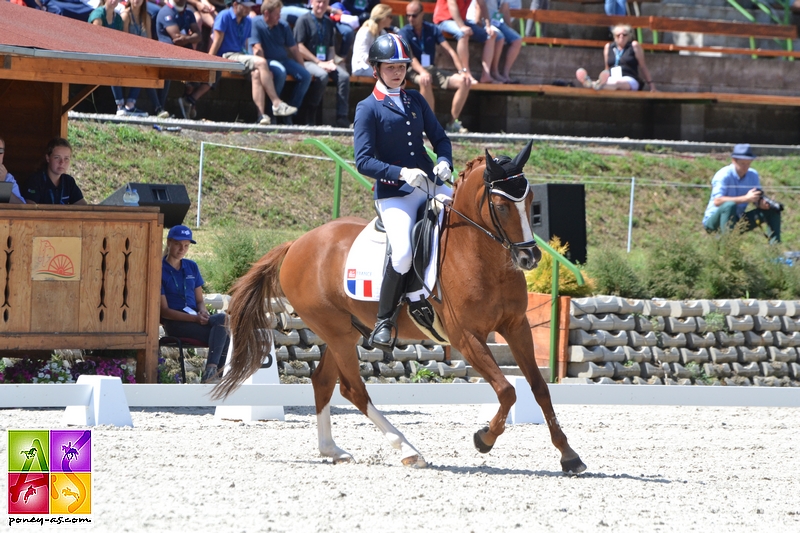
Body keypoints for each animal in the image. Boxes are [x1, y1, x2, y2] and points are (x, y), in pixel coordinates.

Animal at [216, 139, 584, 472]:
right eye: (502, 205)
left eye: (531, 201)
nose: (529, 257)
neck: (478, 254)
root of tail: (297, 243)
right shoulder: (465, 337)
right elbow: (507, 390)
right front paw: (484, 439)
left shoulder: (516, 326)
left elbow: (539, 389)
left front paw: (569, 455)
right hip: (336, 331)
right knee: (354, 389)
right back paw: (408, 450)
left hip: (345, 332)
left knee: (323, 381)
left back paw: (333, 451)